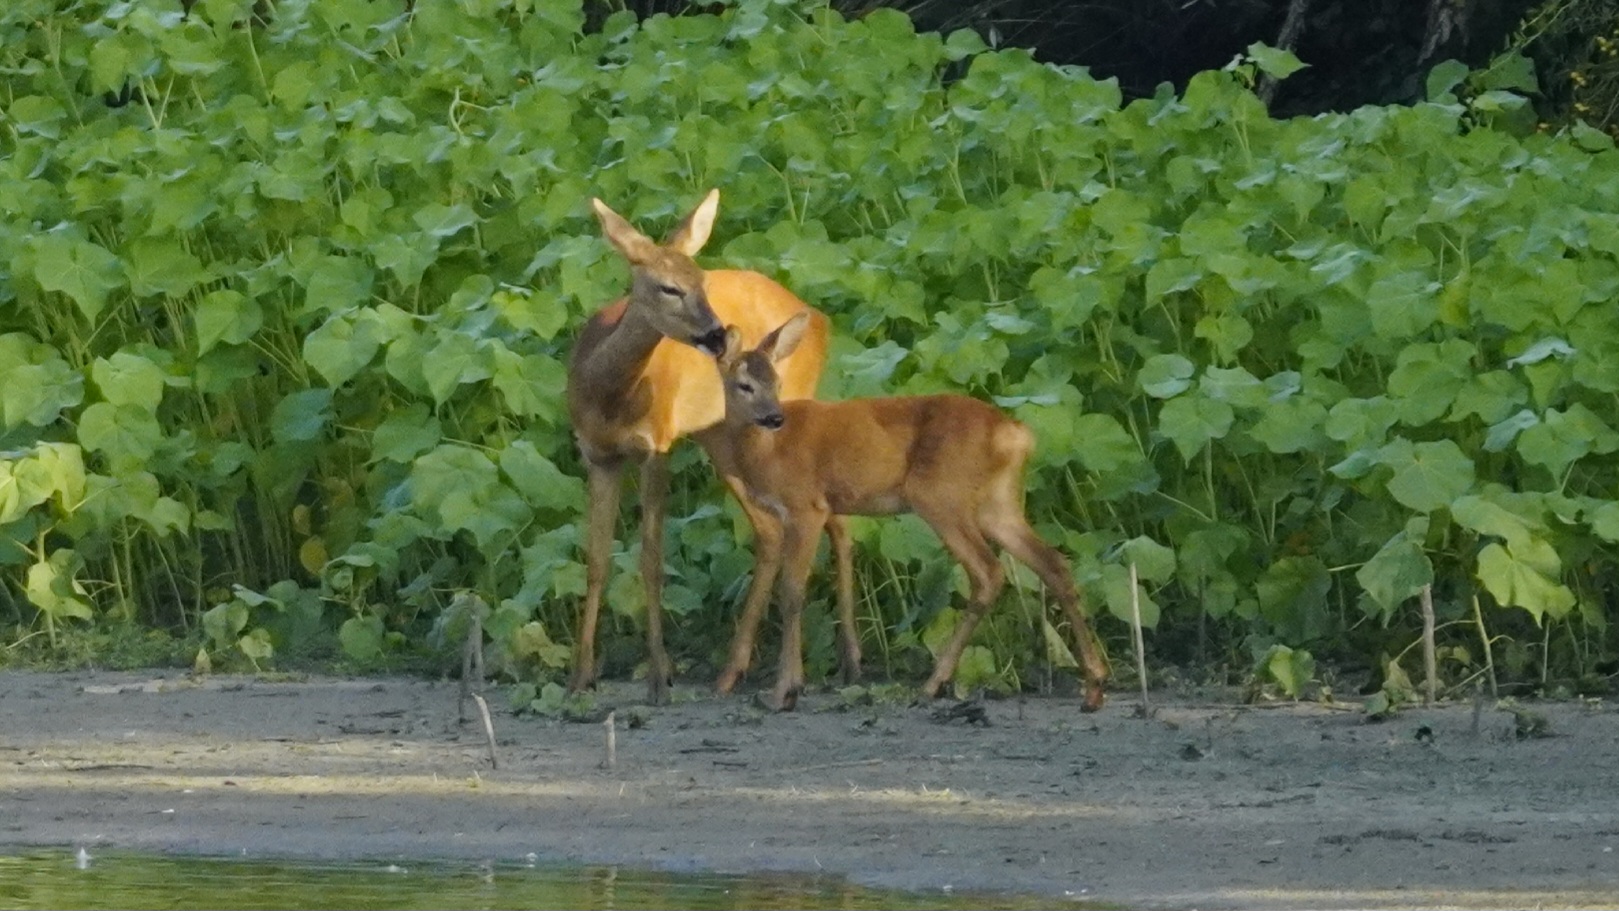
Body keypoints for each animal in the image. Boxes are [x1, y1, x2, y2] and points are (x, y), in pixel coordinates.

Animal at [565, 189, 858, 705]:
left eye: (700, 280)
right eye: (667, 287)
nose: (718, 333)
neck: (608, 397)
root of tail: (820, 318)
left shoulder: (656, 445)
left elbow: (651, 559)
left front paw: (659, 679)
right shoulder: (597, 455)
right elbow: (596, 561)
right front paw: (580, 679)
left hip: (783, 412)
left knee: (833, 521)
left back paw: (848, 662)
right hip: (722, 438)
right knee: (772, 531)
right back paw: (734, 671)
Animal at [707, 313, 1111, 713]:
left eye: (777, 382)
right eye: (744, 385)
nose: (774, 417)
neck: (766, 453)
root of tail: (1015, 434)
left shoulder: (806, 506)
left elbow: (791, 593)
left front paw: (783, 692)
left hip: (939, 495)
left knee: (988, 572)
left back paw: (934, 683)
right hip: (999, 505)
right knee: (1053, 564)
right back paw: (1093, 687)